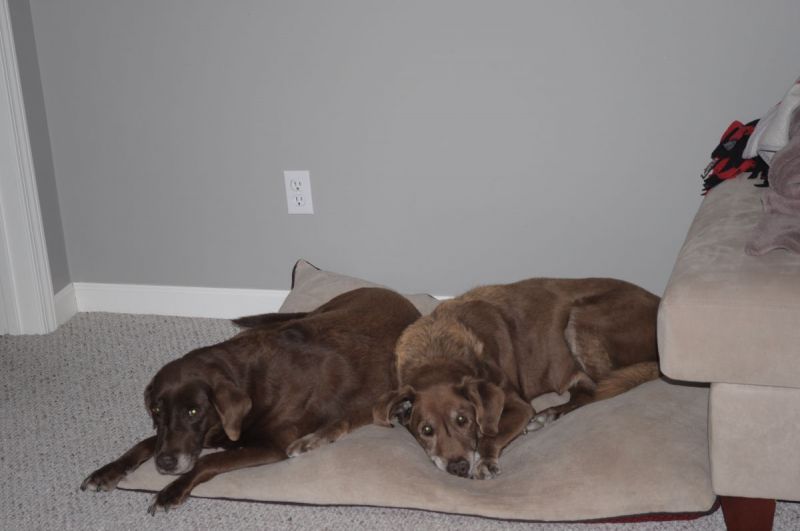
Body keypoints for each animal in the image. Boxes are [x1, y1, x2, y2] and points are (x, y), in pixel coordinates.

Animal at [372, 278, 660, 482]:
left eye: (463, 420)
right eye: (426, 431)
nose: (459, 468)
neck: (437, 353)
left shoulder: (518, 405)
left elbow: (491, 435)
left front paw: (486, 461)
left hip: (582, 319)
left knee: (600, 390)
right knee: (587, 391)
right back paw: (550, 414)